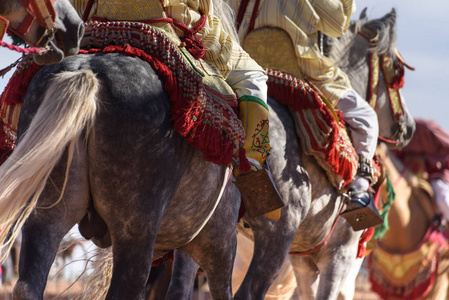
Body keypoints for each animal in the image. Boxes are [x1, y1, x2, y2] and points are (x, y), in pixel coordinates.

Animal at [166, 7, 414, 300]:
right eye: (396, 70)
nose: (409, 128)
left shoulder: (303, 261)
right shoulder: (338, 255)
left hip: (200, 227)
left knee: (181, 286)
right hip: (278, 235)